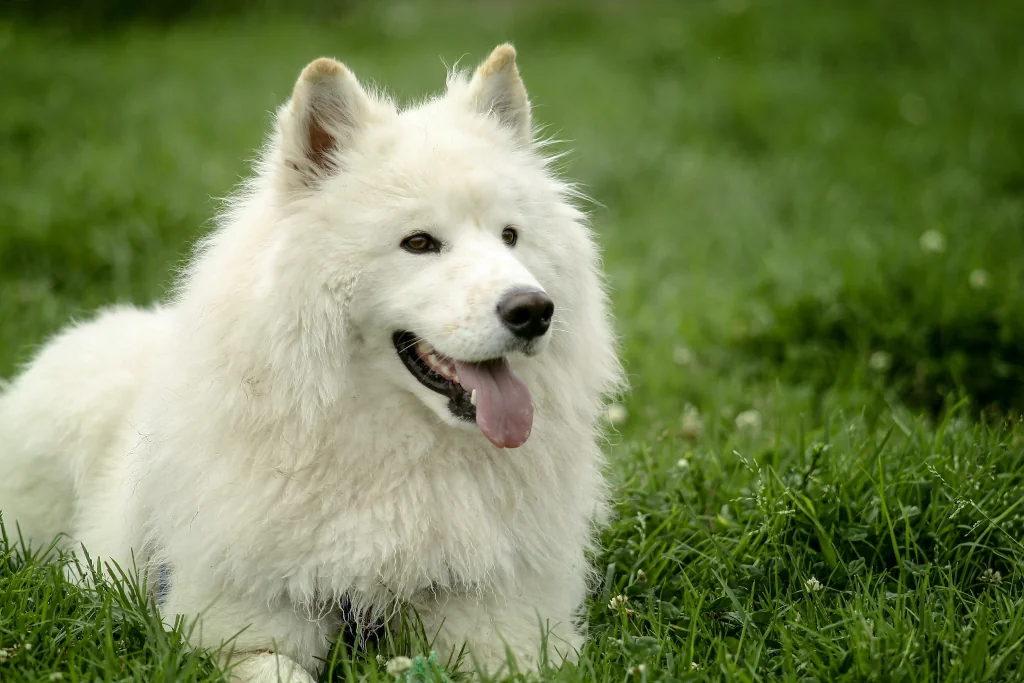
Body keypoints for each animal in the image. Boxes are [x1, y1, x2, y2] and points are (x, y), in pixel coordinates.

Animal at [0, 45, 622, 679]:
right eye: (419, 243)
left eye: (510, 236)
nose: (533, 310)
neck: (396, 464)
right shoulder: (237, 632)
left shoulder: (509, 628)